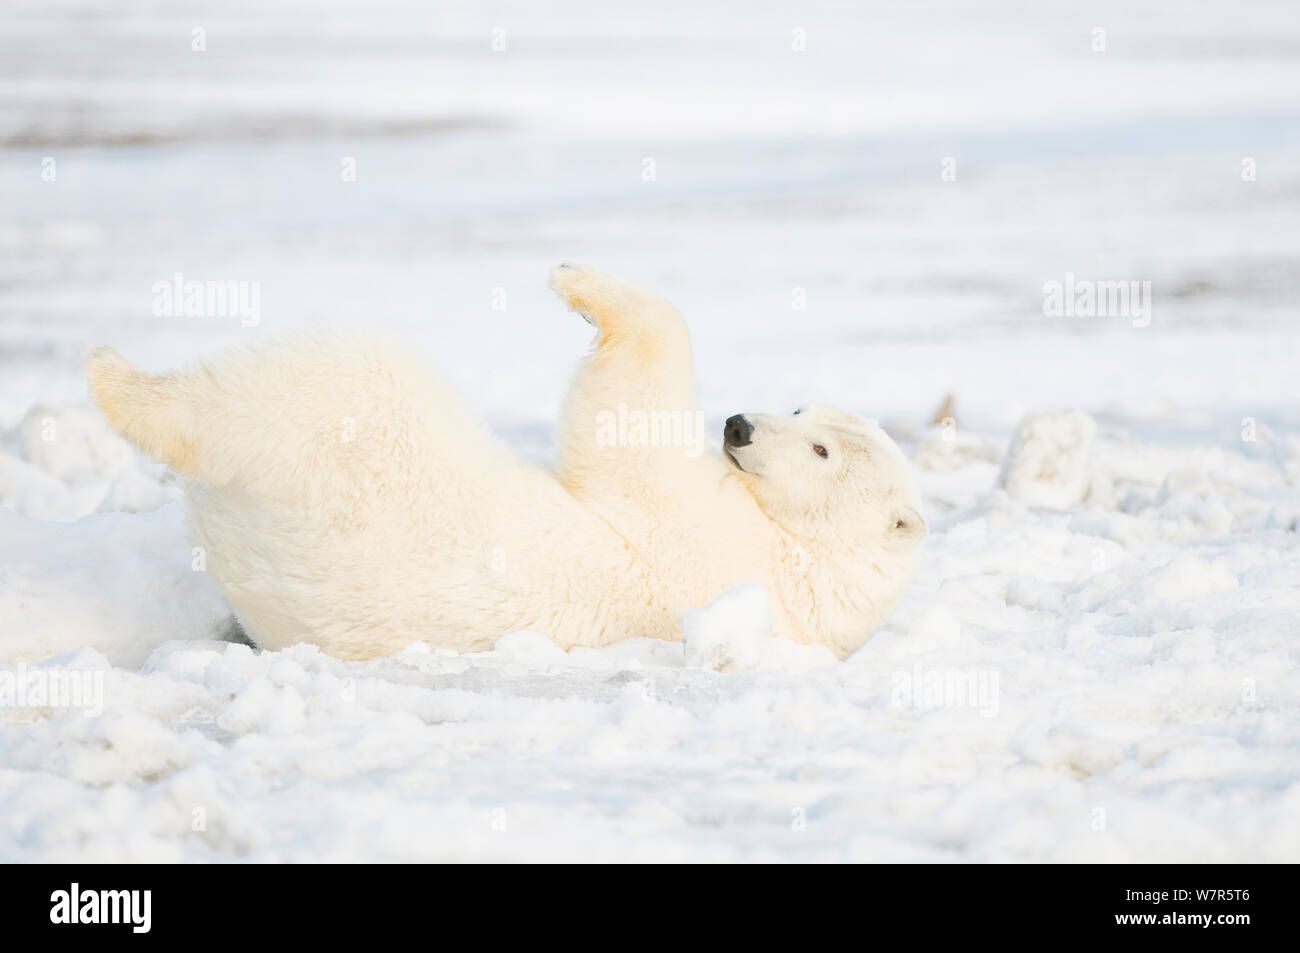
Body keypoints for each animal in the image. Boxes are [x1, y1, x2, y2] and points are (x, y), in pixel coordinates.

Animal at [86, 263, 925, 657]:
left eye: (819, 448)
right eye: (803, 409)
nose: (740, 424)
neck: (812, 563)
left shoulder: (706, 535)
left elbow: (625, 428)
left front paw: (574, 281)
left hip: (357, 438)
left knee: (299, 385)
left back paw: (116, 377)